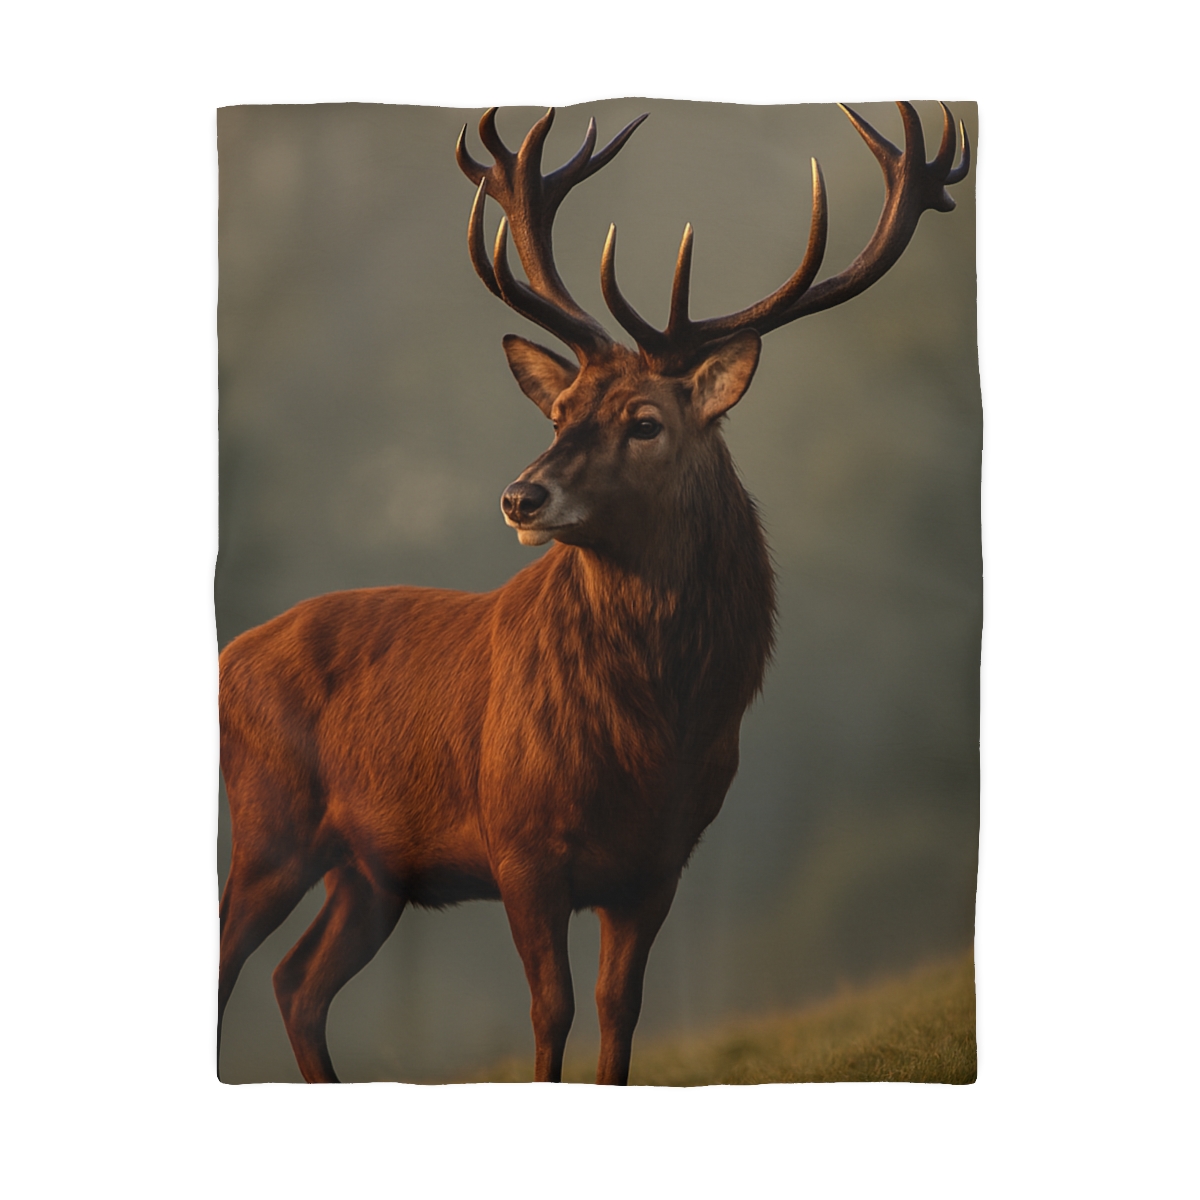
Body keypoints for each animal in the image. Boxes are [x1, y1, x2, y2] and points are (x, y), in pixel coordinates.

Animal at [217, 102, 971, 1084]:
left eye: (645, 422)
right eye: (558, 411)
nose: (519, 497)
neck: (652, 737)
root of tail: (229, 653)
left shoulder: (660, 864)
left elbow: (621, 1013)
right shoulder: (519, 843)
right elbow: (552, 1012)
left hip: (371, 867)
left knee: (297, 983)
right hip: (269, 822)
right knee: (236, 963)